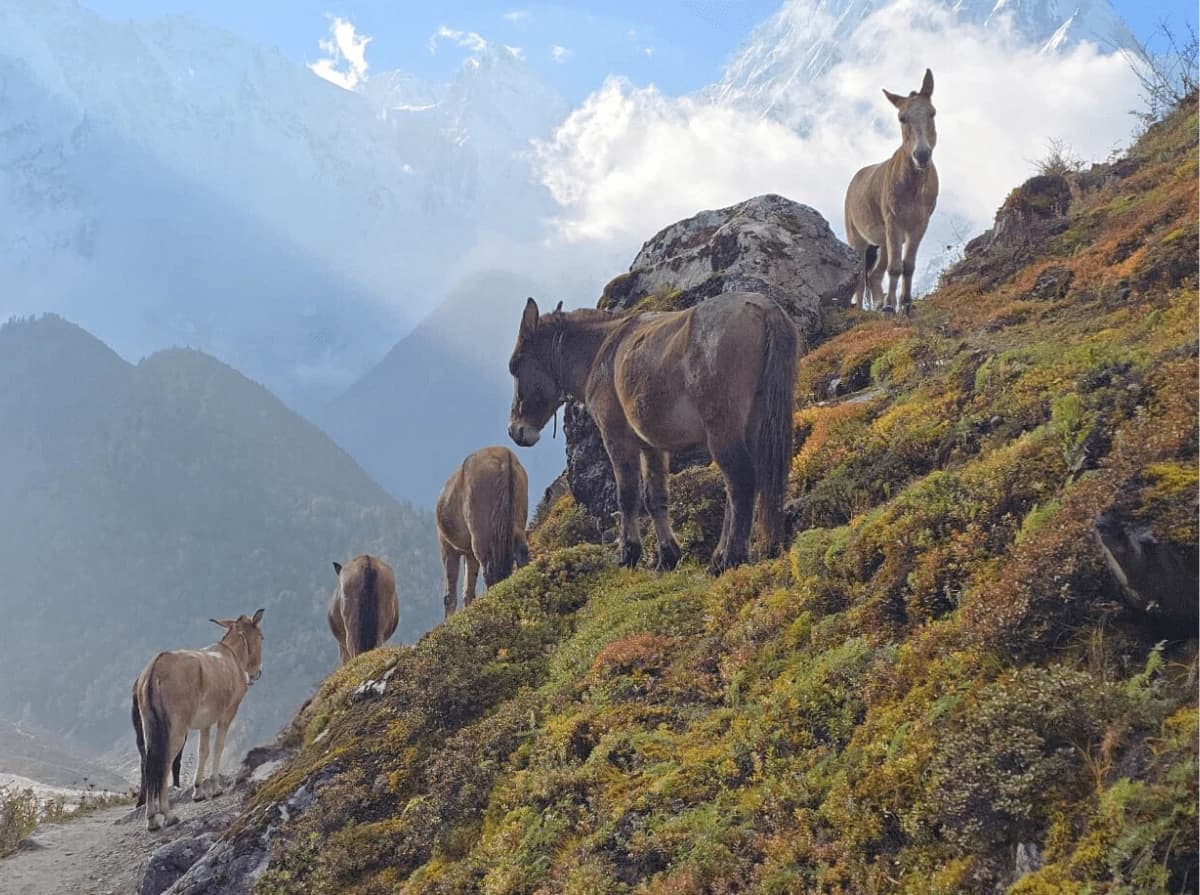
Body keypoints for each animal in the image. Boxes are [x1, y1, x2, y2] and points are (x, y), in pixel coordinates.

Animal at [432, 443, 525, 619]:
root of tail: (504, 458)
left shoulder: (447, 547)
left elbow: (450, 594)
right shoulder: (468, 553)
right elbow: (468, 589)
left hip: (480, 534)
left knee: (489, 569)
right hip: (517, 519)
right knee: (521, 553)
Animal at [506, 292, 796, 571]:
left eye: (515, 364)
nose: (514, 430)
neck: (602, 351)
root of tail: (763, 308)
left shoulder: (617, 437)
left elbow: (627, 495)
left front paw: (629, 554)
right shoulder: (651, 446)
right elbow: (654, 497)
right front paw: (667, 556)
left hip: (723, 430)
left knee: (741, 483)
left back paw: (730, 558)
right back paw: (720, 557)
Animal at [844, 67, 936, 309]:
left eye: (932, 113)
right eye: (902, 118)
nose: (922, 155)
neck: (913, 188)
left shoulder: (919, 225)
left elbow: (908, 266)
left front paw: (906, 305)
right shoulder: (894, 223)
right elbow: (895, 268)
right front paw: (889, 308)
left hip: (883, 243)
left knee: (875, 274)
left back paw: (878, 305)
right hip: (858, 241)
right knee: (860, 278)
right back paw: (865, 310)